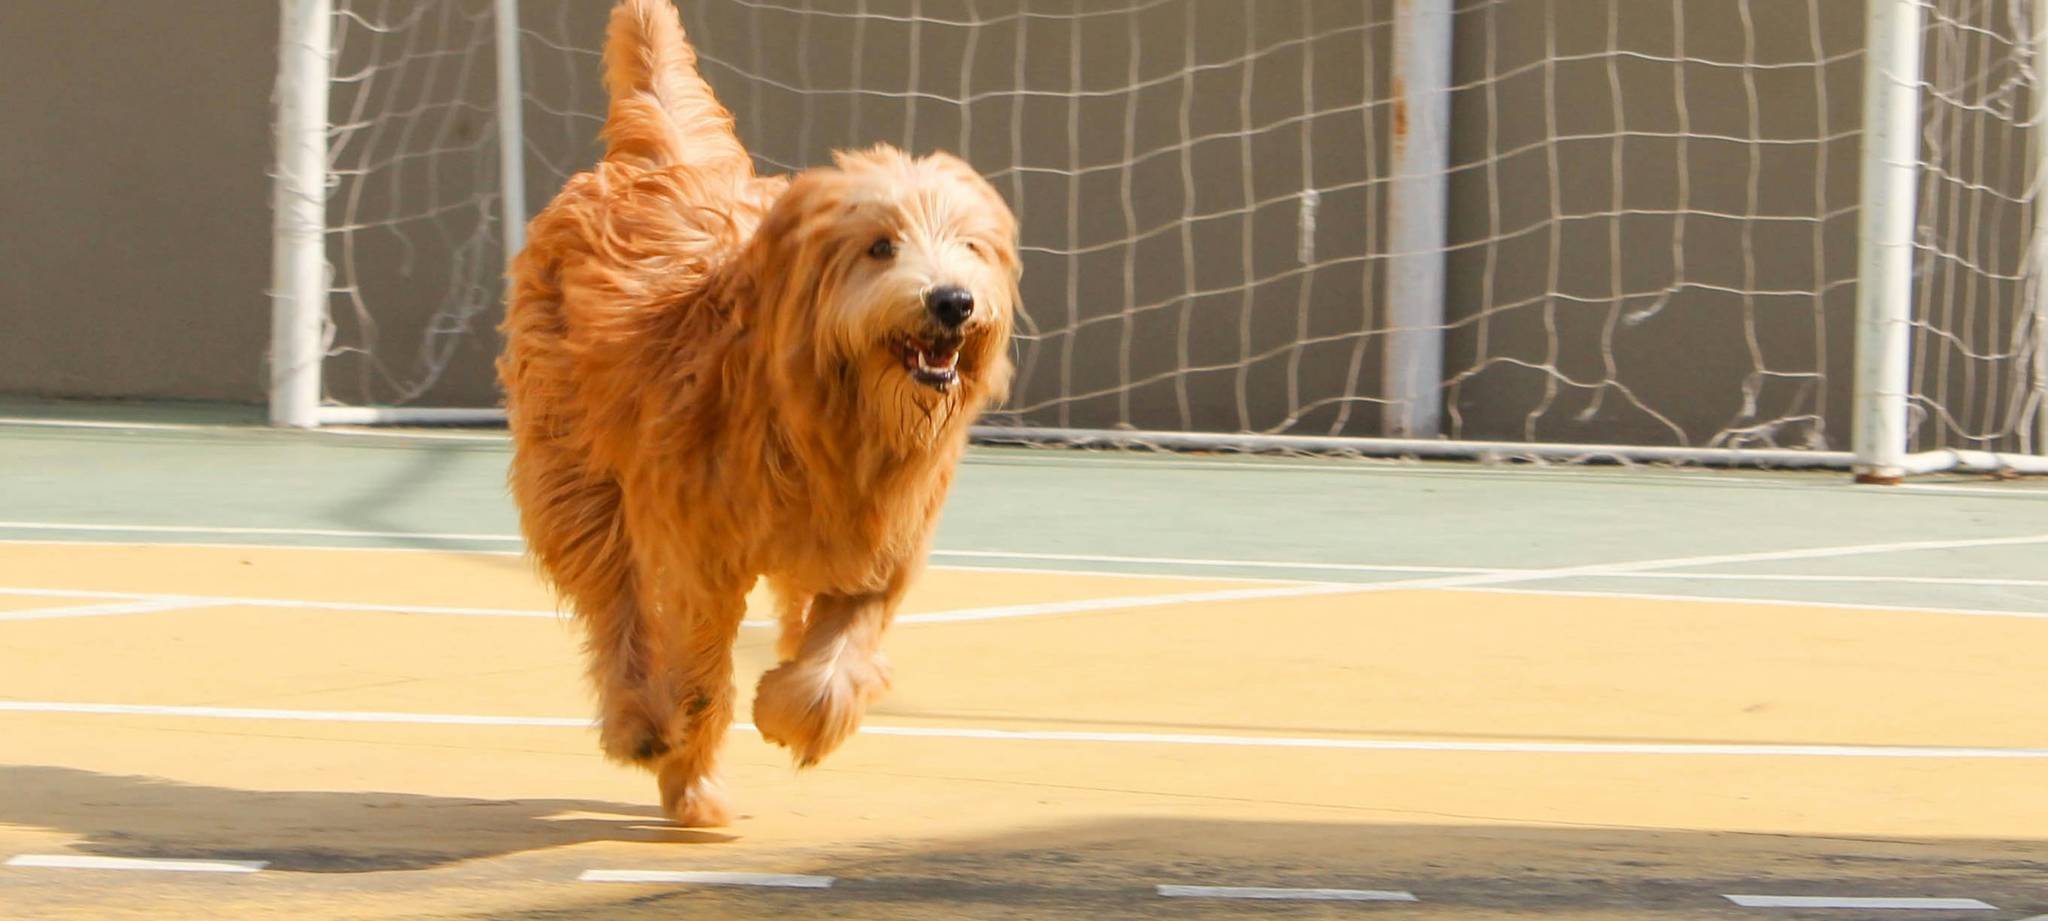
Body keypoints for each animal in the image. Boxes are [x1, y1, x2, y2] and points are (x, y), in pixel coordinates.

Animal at [497, 0, 1017, 826]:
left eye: (970, 244)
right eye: (880, 246)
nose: (953, 301)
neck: (830, 411)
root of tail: (657, 156)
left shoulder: (881, 538)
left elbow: (840, 649)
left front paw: (796, 711)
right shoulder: (698, 547)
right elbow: (701, 666)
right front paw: (691, 779)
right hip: (573, 472)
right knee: (615, 604)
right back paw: (638, 718)